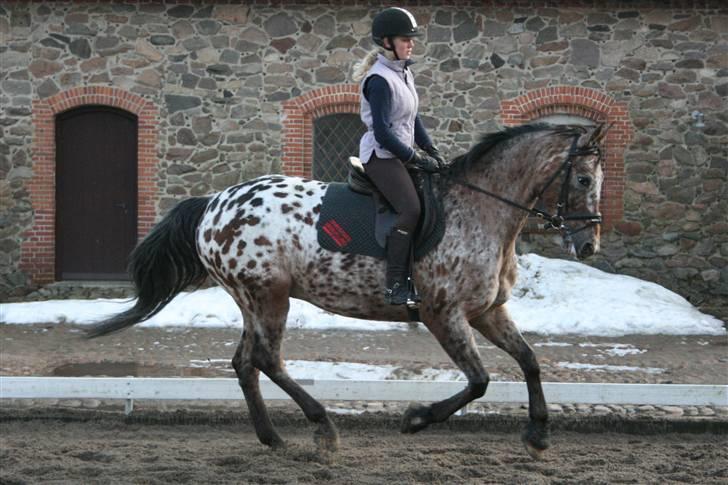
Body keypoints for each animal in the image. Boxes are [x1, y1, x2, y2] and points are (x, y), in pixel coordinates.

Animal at [86, 123, 608, 460]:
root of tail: (214, 203)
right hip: (268, 296)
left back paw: (273, 438)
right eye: (583, 179)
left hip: (252, 298)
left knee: (245, 363)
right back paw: (323, 430)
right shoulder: (443, 314)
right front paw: (416, 419)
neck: (481, 210)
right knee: (266, 359)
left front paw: (538, 434)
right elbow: (479, 381)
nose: (588, 244)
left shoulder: (487, 311)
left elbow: (530, 361)